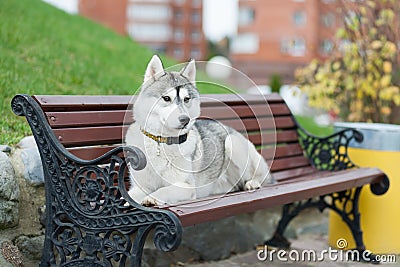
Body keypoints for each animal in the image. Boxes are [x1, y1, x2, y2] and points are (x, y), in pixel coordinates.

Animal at [126, 55, 276, 207]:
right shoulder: (141, 187)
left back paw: (253, 183)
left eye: (186, 99)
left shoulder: (187, 186)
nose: (185, 119)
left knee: (261, 177)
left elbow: (164, 189)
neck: (162, 142)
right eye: (166, 98)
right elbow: (128, 195)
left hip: (232, 143)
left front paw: (152, 198)